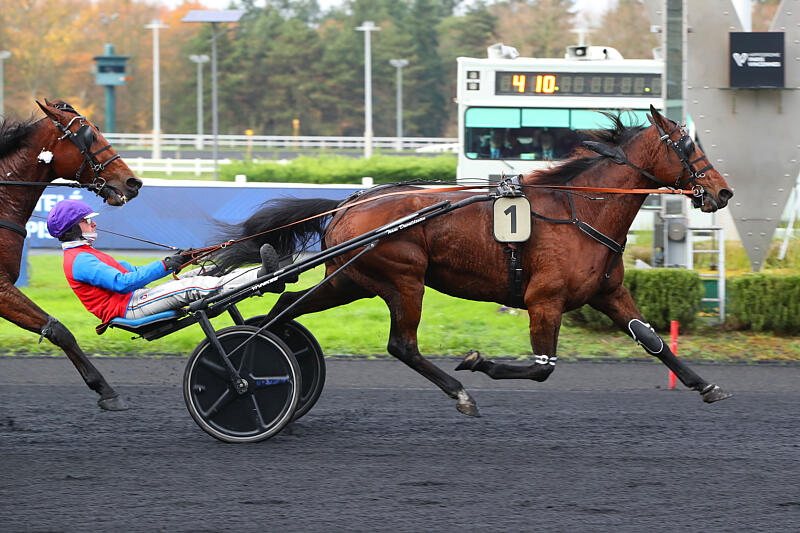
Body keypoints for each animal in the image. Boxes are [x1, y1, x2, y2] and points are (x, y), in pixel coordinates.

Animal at [211, 105, 734, 416]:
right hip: (403, 279)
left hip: (351, 280)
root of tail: (348, 203)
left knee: (286, 307)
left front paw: (706, 385)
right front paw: (478, 361)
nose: (723, 192)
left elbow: (653, 340)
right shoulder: (545, 299)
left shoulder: (609, 292)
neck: (582, 210)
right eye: (686, 147)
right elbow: (542, 366)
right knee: (402, 345)